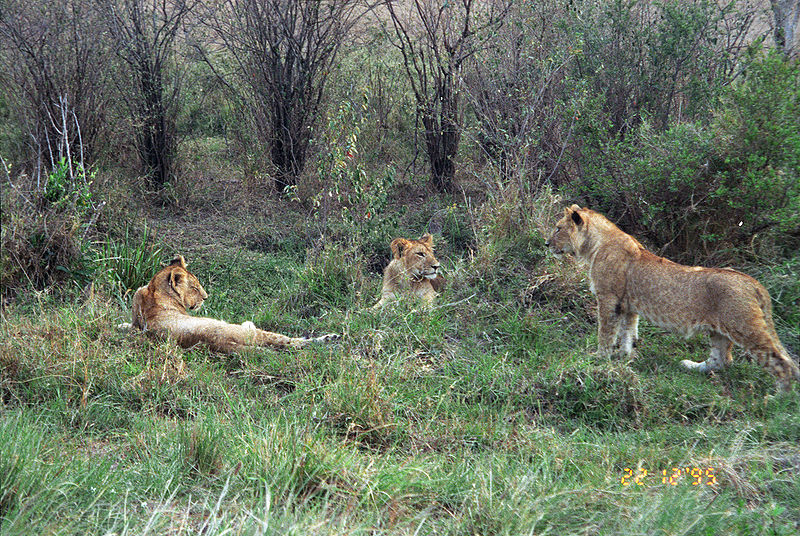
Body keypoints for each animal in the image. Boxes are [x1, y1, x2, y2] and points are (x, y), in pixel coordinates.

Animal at [119, 254, 338, 352]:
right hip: (254, 334)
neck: (154, 291)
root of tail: (220, 342)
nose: (206, 297)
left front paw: (121, 326)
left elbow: (127, 325)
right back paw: (329, 338)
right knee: (291, 342)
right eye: (196, 288)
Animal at [548, 203, 796, 392]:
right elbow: (628, 333)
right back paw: (690, 366)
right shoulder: (628, 306)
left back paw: (778, 397)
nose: (547, 243)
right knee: (722, 360)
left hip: (744, 326)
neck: (595, 245)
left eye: (558, 228)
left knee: (782, 363)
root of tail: (753, 283)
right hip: (720, 330)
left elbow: (606, 332)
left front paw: (599, 358)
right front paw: (624, 357)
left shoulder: (609, 298)